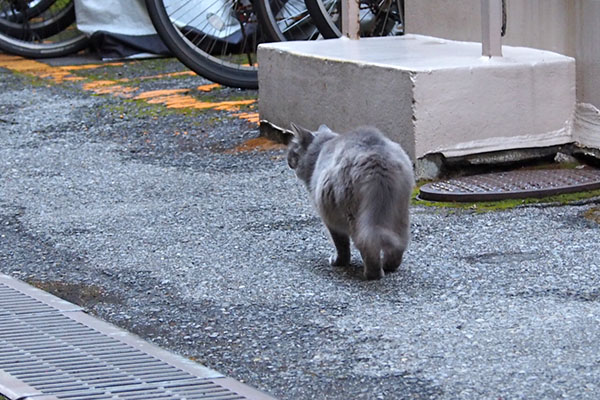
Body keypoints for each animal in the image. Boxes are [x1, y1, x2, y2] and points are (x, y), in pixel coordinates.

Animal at [290, 123, 412, 280]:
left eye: (293, 152)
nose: (289, 162)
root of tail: (377, 159)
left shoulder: (329, 220)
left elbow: (341, 246)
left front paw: (338, 262)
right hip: (399, 215)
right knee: (398, 245)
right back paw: (387, 267)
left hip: (354, 218)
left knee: (368, 245)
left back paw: (372, 274)